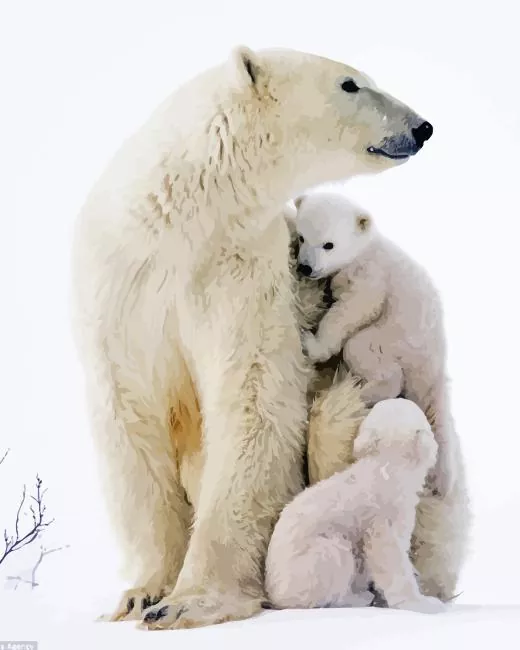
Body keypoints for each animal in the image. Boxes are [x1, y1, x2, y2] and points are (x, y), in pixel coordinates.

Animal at [265, 398, 446, 615]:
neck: (387, 465)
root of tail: (273, 596)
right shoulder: (385, 520)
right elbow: (390, 559)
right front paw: (422, 603)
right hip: (315, 560)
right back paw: (359, 598)